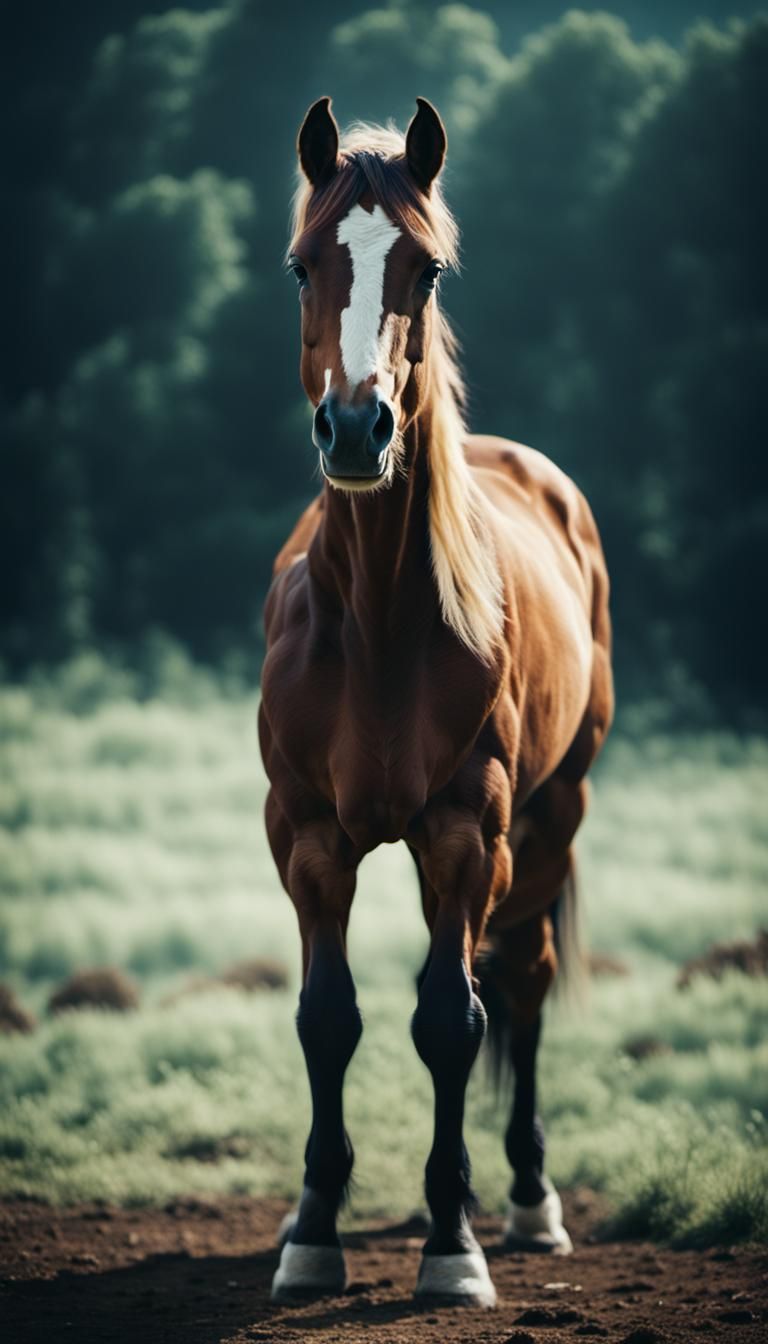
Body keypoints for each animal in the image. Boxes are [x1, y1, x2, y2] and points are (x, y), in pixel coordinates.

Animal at [259, 95, 614, 1308]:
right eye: (302, 263)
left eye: (428, 267)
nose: (356, 430)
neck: (378, 626)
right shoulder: (309, 837)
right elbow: (328, 1020)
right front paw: (313, 1232)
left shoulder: (468, 833)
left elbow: (450, 1023)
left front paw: (452, 1249)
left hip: (547, 823)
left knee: (521, 985)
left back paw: (526, 1203)